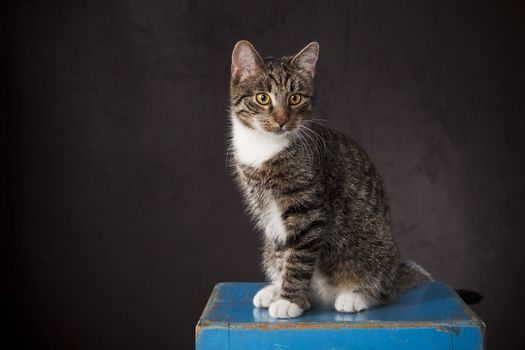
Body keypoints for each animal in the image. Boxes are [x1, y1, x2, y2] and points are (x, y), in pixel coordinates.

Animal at [227, 39, 432, 318]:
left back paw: (356, 296)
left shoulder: (308, 209)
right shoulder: (268, 214)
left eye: (295, 98)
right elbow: (284, 254)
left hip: (372, 248)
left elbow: (299, 256)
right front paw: (284, 291)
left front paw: (290, 300)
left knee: (382, 290)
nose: (282, 120)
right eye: (262, 97)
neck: (263, 147)